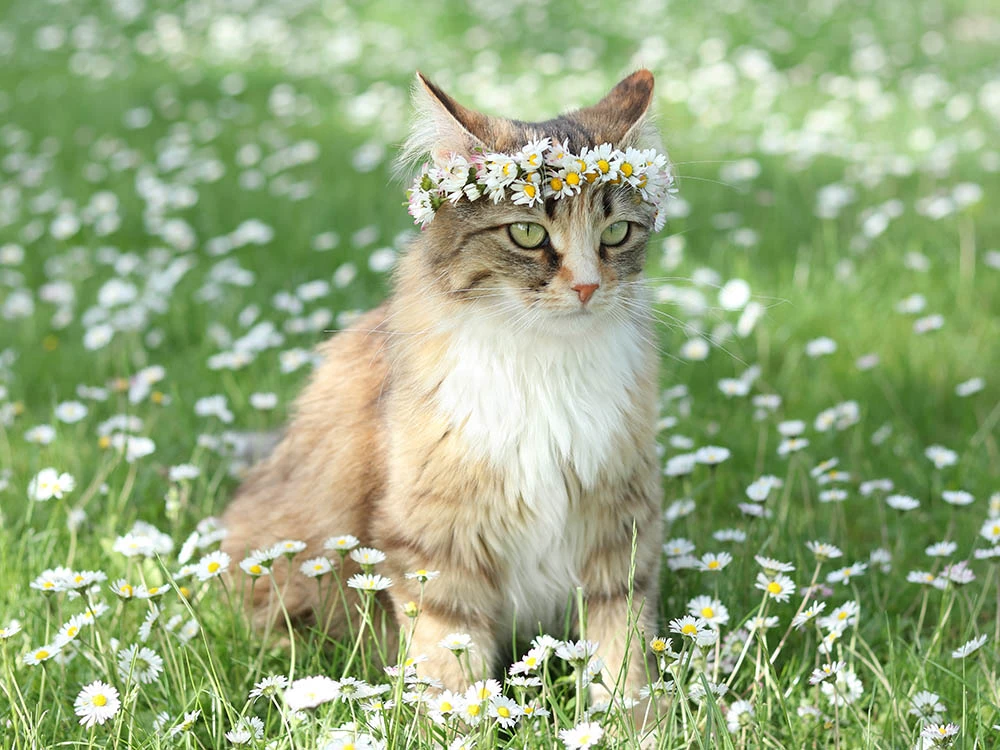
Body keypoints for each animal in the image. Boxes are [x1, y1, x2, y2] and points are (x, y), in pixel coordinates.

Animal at [223, 67, 668, 704]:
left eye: (616, 233)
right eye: (527, 231)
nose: (587, 287)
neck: (542, 364)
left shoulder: (618, 528)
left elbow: (622, 655)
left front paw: (631, 719)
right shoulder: (436, 542)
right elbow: (452, 668)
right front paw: (463, 718)